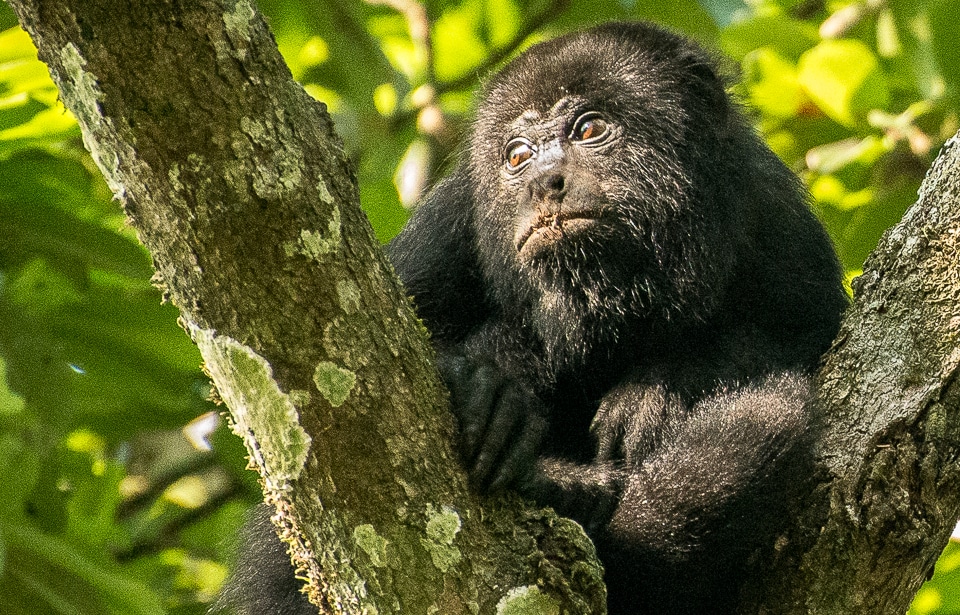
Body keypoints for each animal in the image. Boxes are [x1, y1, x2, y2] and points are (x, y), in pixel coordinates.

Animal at [219, 20, 848, 615]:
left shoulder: (776, 223)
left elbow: (803, 342)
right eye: (517, 155)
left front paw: (659, 389)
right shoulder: (449, 227)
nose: (545, 181)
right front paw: (494, 381)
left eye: (588, 129)